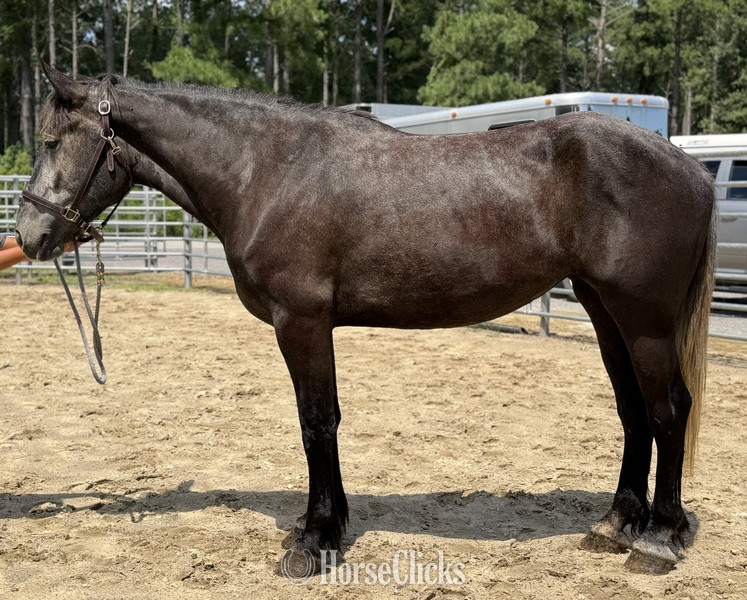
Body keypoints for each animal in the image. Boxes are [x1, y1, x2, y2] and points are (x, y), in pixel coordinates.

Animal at [15, 63, 716, 576]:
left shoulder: (300, 321)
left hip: (644, 319)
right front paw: (323, 524)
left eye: (50, 142)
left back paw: (658, 539)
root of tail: (689, 167)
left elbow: (315, 423)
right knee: (633, 411)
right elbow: (324, 421)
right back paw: (617, 525)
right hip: (604, 309)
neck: (265, 169)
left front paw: (315, 542)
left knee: (667, 411)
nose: (28, 236)